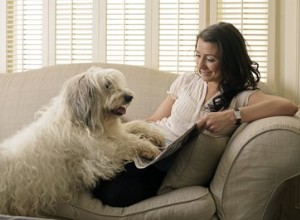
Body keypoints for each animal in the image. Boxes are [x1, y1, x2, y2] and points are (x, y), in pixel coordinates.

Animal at [0, 66, 164, 217]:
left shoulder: (112, 134)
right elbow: (128, 143)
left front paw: (155, 135)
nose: (129, 97)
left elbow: (134, 126)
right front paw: (150, 148)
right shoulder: (101, 156)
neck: (80, 121)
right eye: (107, 85)